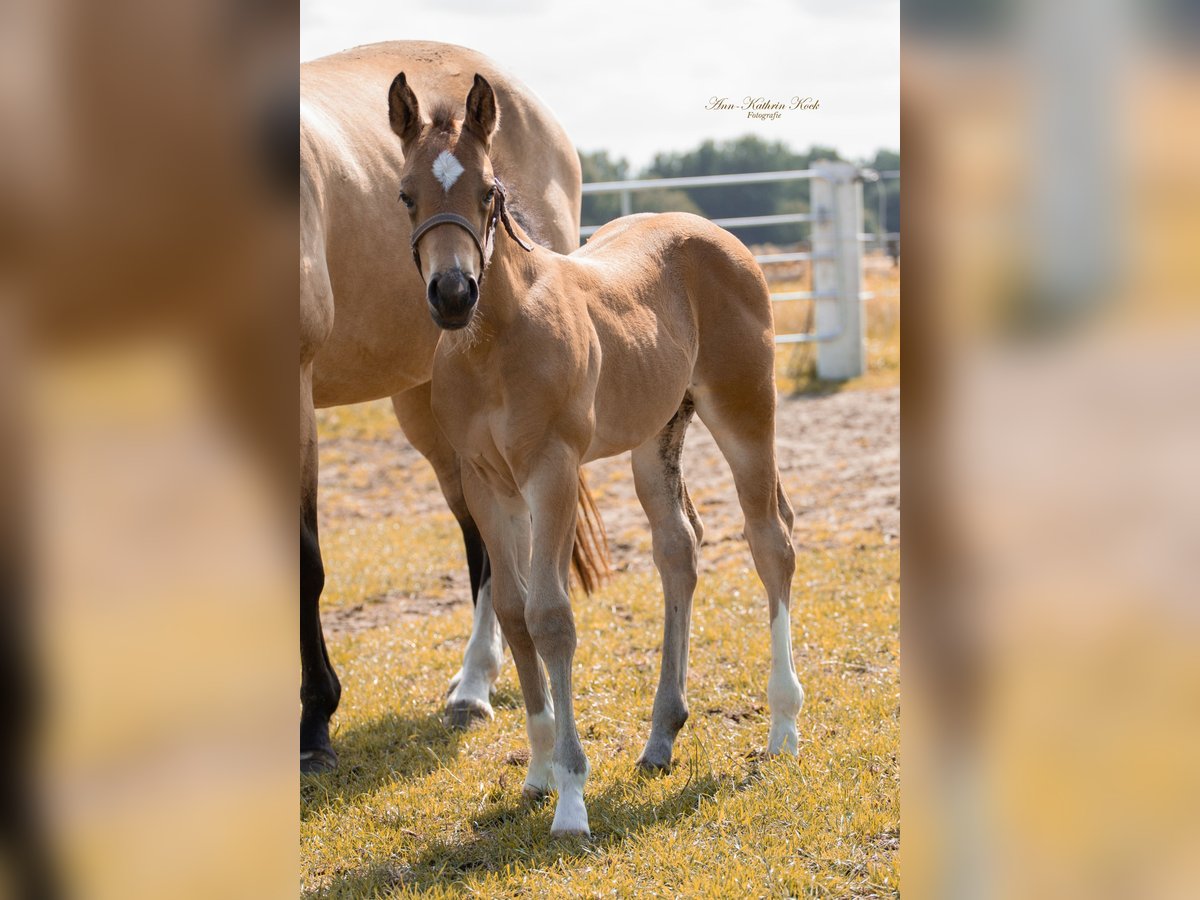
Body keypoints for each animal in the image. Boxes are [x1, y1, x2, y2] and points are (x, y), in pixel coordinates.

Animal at [300, 41, 606, 774]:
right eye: (402, 196)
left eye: (488, 192)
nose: (452, 293)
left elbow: (306, 564)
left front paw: (314, 725)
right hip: (427, 410)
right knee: (483, 533)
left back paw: (475, 683)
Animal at [386, 72, 805, 835]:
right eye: (407, 194)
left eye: (488, 191)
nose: (453, 294)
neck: (495, 342)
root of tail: (716, 233)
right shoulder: (487, 482)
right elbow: (514, 612)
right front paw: (538, 771)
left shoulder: (551, 469)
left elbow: (552, 618)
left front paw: (572, 797)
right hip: (654, 437)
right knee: (679, 548)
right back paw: (662, 736)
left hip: (744, 412)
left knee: (771, 540)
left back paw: (784, 725)